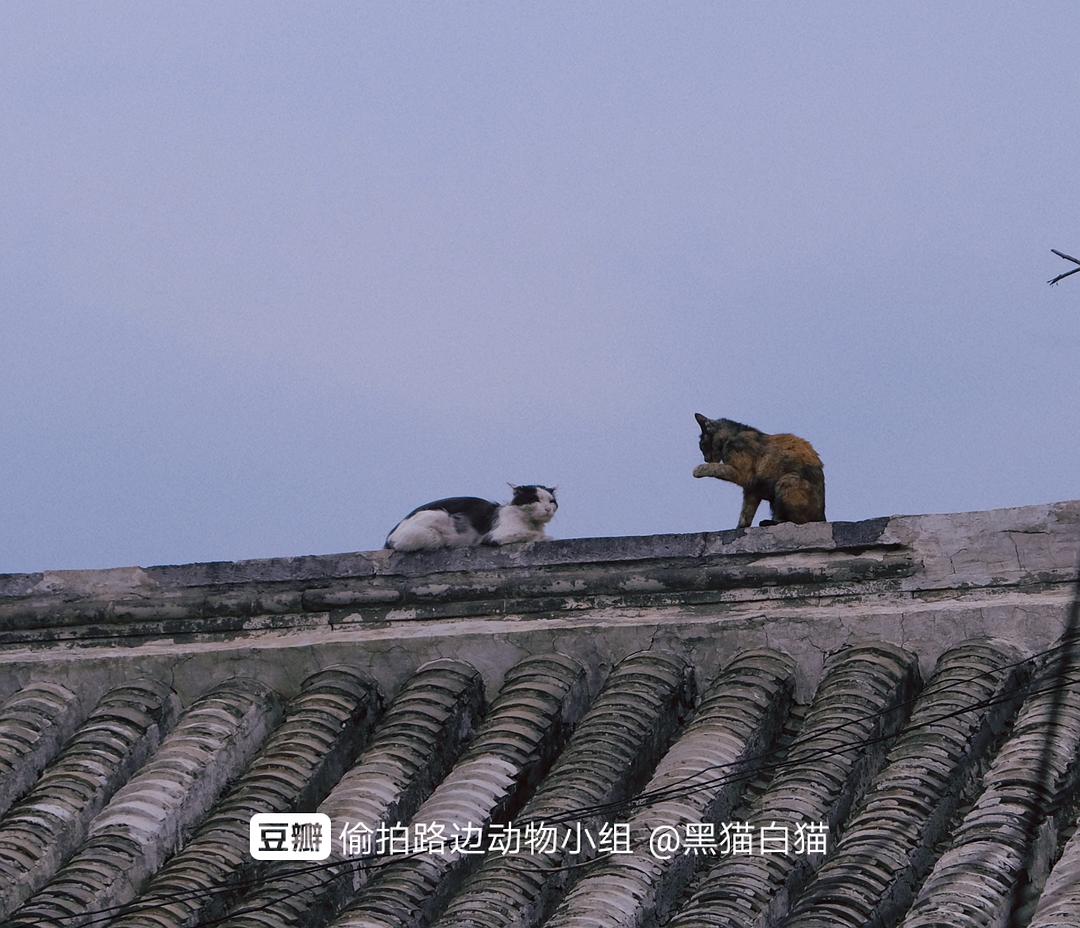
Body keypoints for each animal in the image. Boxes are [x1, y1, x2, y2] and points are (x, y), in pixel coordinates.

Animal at [384, 486, 557, 550]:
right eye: (535, 500)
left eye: (551, 501)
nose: (548, 509)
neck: (532, 523)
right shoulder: (495, 536)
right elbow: (533, 535)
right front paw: (546, 537)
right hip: (436, 524)